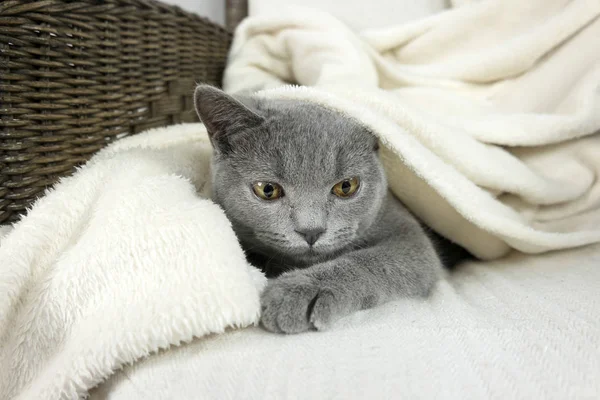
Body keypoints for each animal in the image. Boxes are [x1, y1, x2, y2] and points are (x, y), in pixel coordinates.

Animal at [195, 85, 466, 334]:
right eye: (267, 189)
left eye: (346, 186)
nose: (311, 231)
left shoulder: (410, 238)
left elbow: (371, 261)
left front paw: (300, 291)